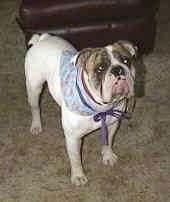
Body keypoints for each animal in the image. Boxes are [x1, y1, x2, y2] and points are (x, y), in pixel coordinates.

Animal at [24, 33, 137, 186]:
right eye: (100, 68)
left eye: (126, 61)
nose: (118, 69)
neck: (101, 107)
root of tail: (42, 39)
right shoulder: (73, 138)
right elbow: (76, 159)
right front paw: (78, 176)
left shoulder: (112, 124)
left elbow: (108, 142)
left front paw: (107, 156)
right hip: (34, 88)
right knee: (35, 107)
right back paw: (36, 125)